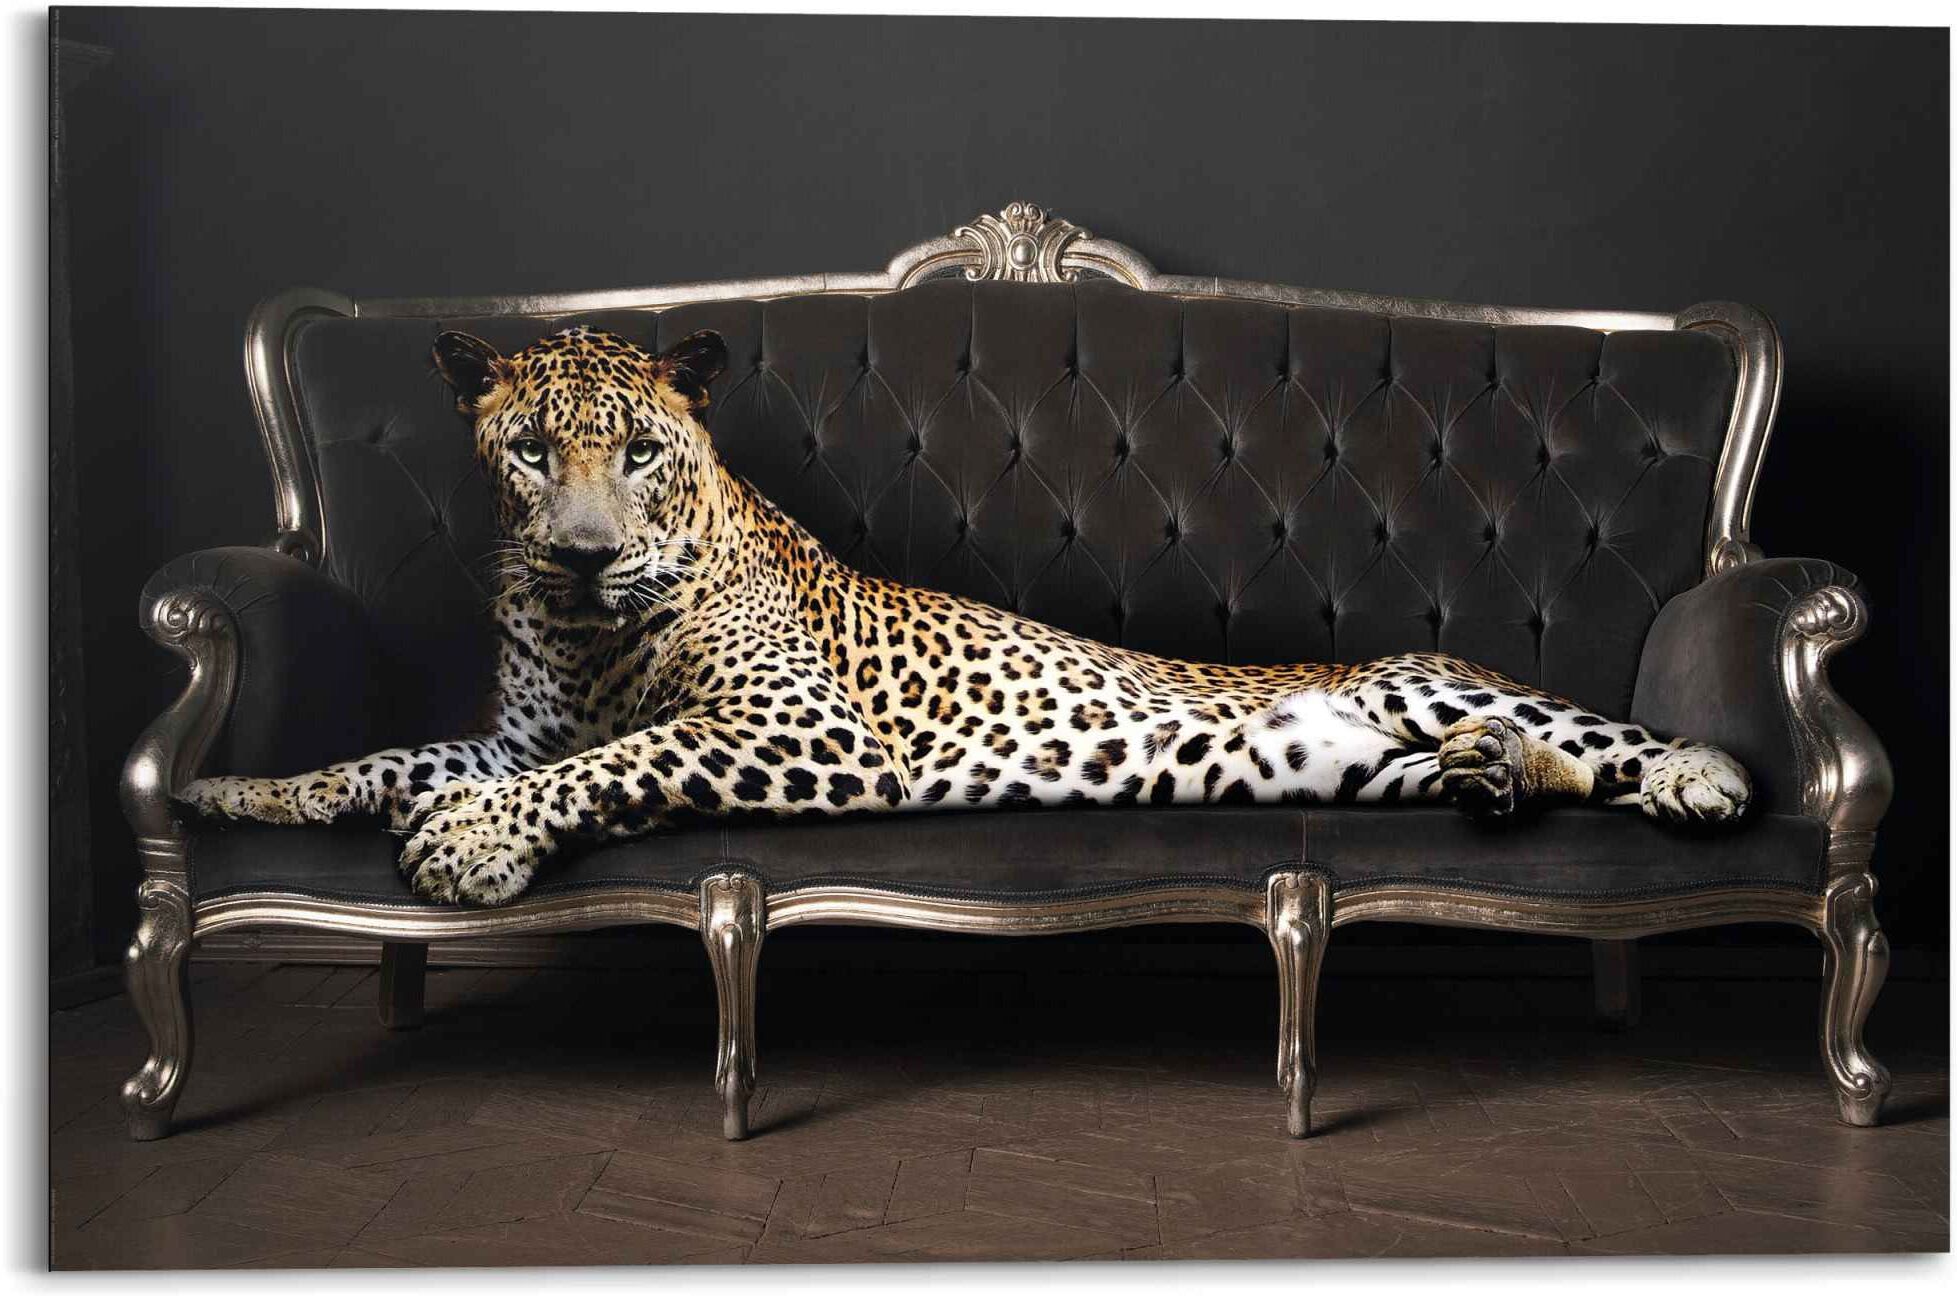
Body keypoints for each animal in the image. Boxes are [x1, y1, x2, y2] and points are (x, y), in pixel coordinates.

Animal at [179, 325, 1753, 906]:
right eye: (525, 451)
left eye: (634, 453)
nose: (577, 555)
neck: (586, 632)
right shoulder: (516, 733)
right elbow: (390, 757)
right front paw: (243, 794)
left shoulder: (798, 729)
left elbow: (622, 761)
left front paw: (471, 845)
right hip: (1355, 764)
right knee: (1518, 770)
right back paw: (1493, 781)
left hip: (1424, 680)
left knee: (1601, 741)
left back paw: (1693, 775)